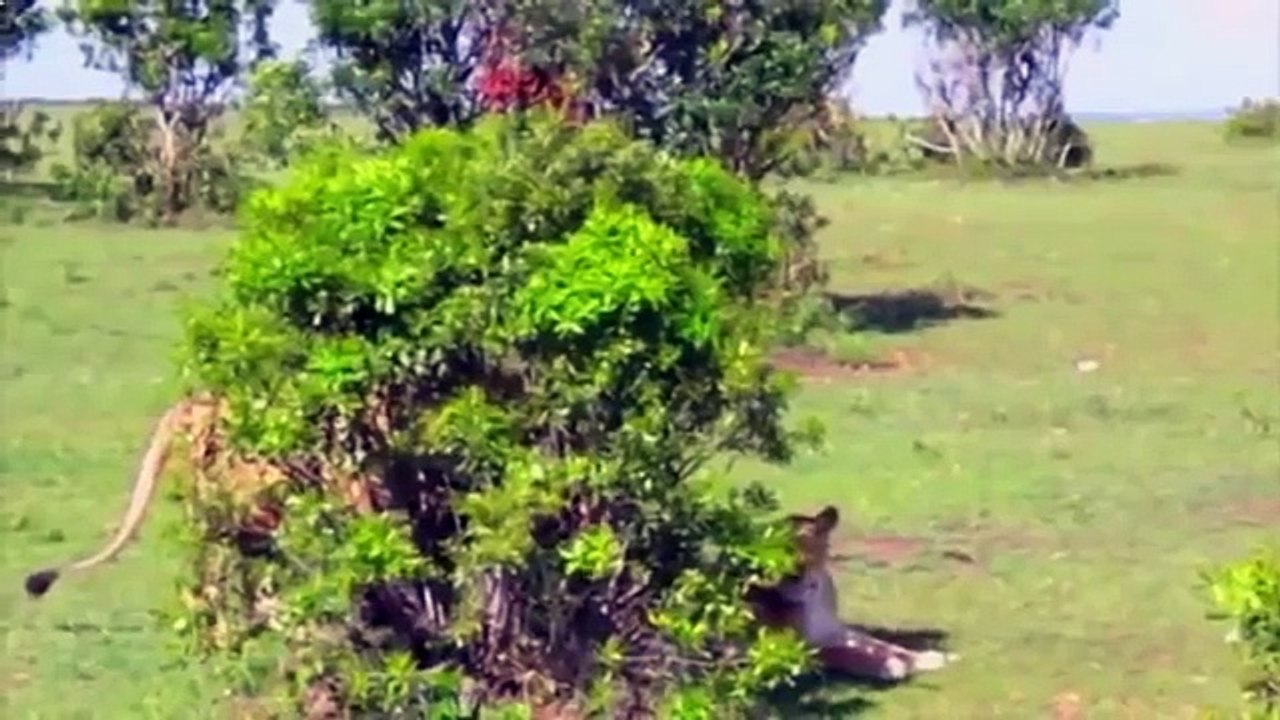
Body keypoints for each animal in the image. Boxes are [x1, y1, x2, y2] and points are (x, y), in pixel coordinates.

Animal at [747, 505, 955, 682]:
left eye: (805, 540)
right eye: (773, 547)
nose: (793, 573)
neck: (815, 597)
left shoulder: (837, 631)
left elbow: (885, 645)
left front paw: (933, 658)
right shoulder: (795, 646)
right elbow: (845, 653)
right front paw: (891, 666)